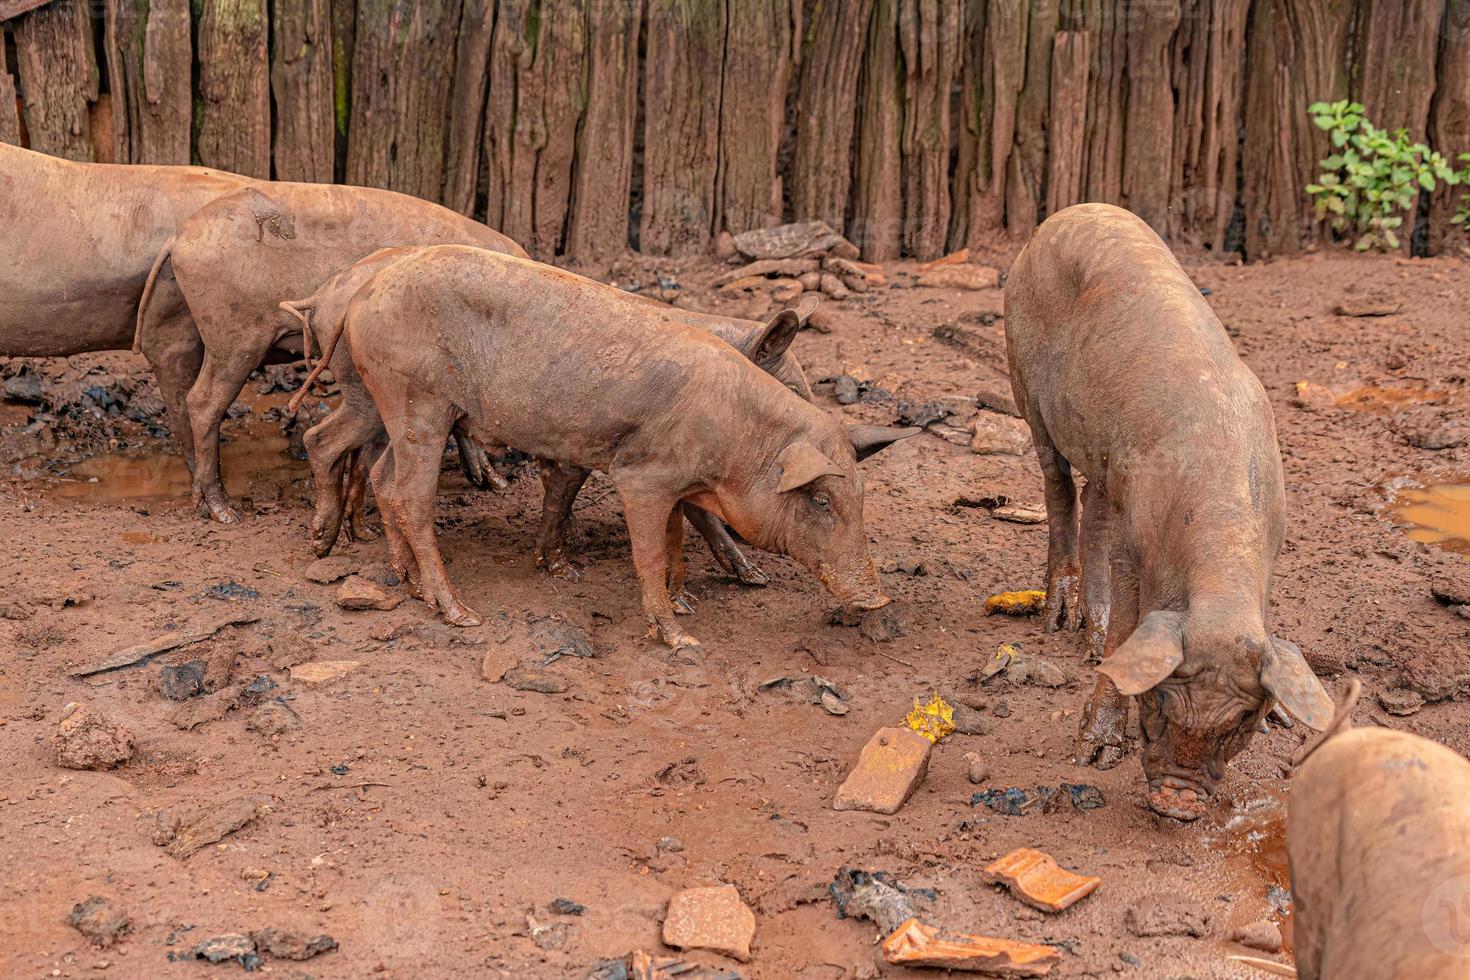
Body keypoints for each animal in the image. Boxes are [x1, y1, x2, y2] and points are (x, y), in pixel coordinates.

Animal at [136, 181, 529, 525]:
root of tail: (178, 236)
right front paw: (498, 482)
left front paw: (493, 482)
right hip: (234, 335)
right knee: (203, 403)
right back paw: (226, 513)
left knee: (183, 392)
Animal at [276, 245, 829, 587]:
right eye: (792, 390)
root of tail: (337, 298)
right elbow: (579, 497)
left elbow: (564, 499)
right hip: (382, 393)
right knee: (330, 444)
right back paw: (331, 546)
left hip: (374, 399)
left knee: (337, 447)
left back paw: (346, 546)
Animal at [343, 245, 917, 643]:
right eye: (819, 499)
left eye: (860, 496)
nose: (880, 600)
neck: (739, 441)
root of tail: (363, 293)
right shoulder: (640, 477)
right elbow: (650, 550)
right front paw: (682, 636)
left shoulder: (678, 486)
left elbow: (675, 540)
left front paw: (687, 602)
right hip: (418, 401)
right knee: (411, 497)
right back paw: (460, 614)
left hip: (400, 409)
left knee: (385, 481)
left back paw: (409, 585)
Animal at [1005, 205, 1340, 822]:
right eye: (1159, 700)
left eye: (1243, 722)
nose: (1178, 802)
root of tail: (1064, 215)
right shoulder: (1134, 544)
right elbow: (1127, 636)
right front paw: (1093, 754)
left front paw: (1284, 718)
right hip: (1025, 384)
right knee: (1057, 487)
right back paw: (1059, 622)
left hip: (1105, 458)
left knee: (1093, 504)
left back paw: (1088, 636)